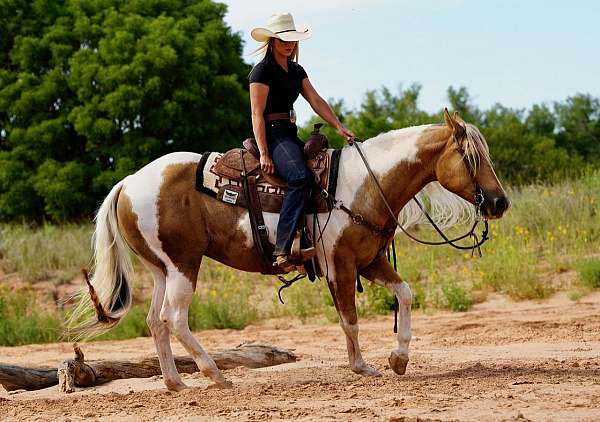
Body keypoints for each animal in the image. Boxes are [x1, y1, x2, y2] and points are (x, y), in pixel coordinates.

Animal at [71, 109, 510, 390]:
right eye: (471, 157)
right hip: (183, 265)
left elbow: (404, 294)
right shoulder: (341, 264)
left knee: (154, 321)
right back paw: (216, 375)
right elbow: (350, 319)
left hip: (162, 268)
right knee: (174, 318)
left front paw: (398, 358)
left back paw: (176, 383)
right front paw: (361, 366)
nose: (499, 202)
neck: (365, 184)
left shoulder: (369, 261)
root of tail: (128, 182)